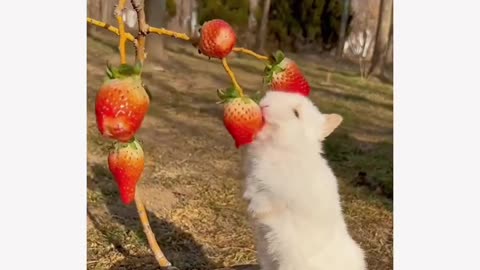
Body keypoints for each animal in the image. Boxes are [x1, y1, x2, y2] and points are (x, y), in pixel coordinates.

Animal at [242, 91, 366, 270]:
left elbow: (268, 200)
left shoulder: (280, 192)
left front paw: (255, 210)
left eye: (296, 113)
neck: (286, 148)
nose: (264, 105)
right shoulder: (254, 178)